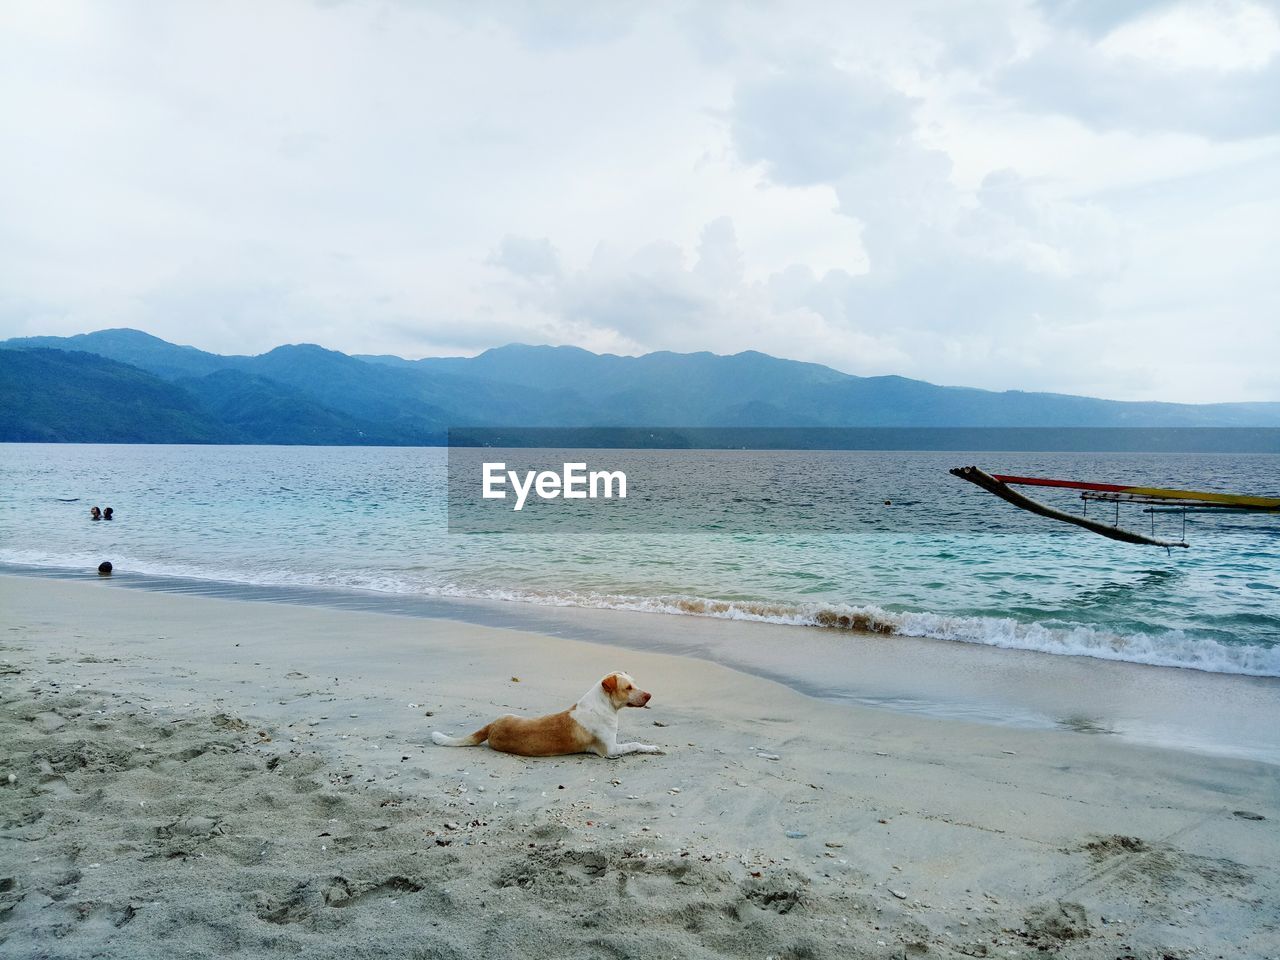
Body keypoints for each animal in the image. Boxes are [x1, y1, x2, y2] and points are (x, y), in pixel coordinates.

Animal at [435, 670, 665, 762]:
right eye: (628, 688)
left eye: (635, 683)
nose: (649, 695)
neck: (604, 705)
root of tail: (491, 726)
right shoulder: (610, 750)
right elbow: (635, 744)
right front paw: (652, 748)